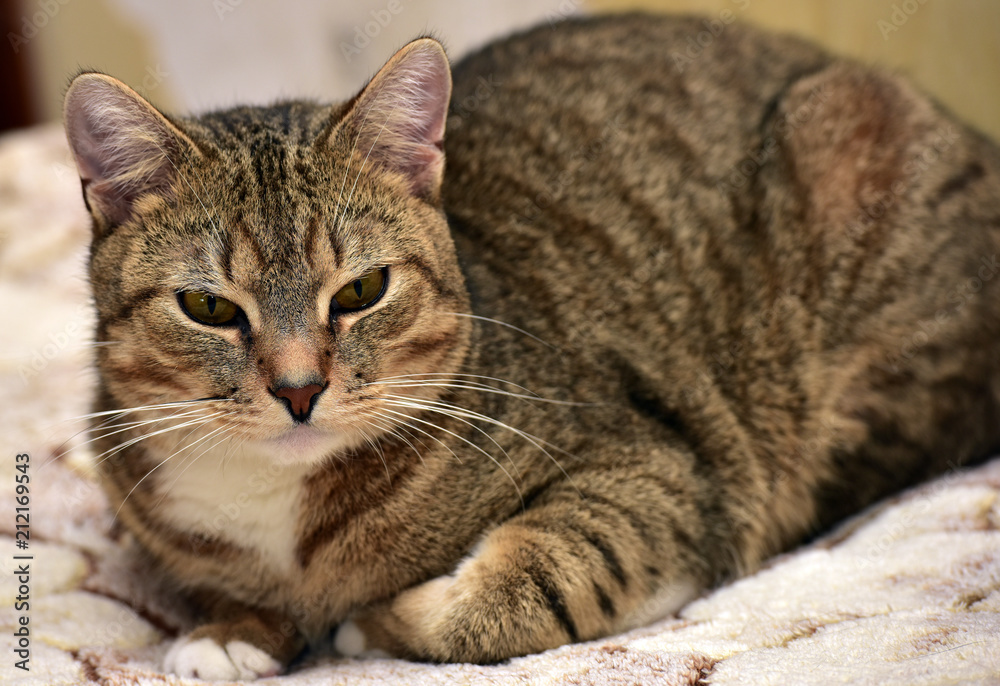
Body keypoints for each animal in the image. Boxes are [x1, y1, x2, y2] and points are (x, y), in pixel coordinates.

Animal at [64, 13, 1000, 680]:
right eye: (207, 307)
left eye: (361, 292)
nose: (299, 389)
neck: (283, 508)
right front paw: (230, 628)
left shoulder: (658, 471)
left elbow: (536, 578)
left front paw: (374, 621)